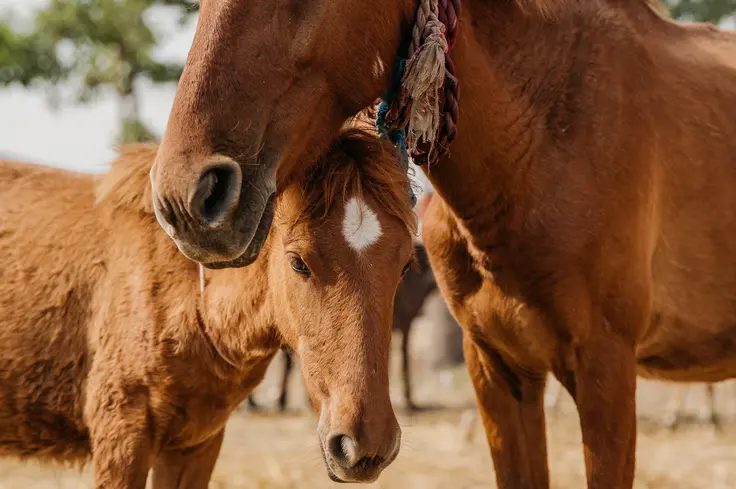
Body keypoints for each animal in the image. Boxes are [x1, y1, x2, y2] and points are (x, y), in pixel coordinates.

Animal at [0, 129, 416, 487]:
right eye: (298, 262)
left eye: (406, 265)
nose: (366, 443)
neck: (189, 301)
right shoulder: (122, 442)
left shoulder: (194, 447)